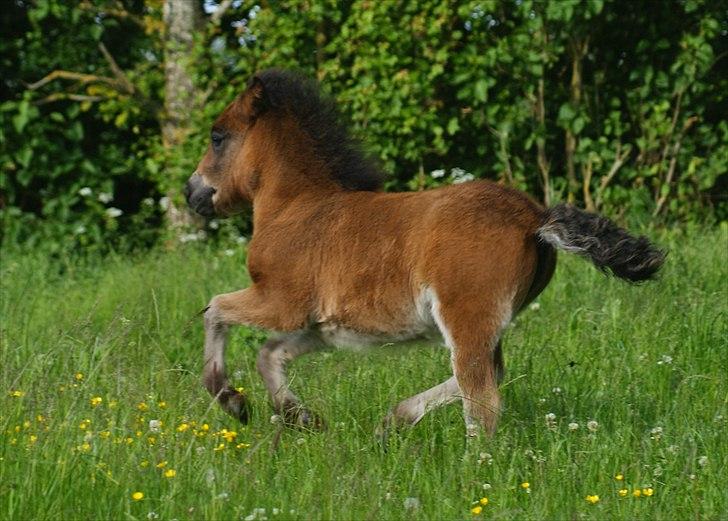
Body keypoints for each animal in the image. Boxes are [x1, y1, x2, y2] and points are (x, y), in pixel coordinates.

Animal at [183, 68, 664, 434]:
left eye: (218, 137)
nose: (191, 192)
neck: (296, 207)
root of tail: (535, 217)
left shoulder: (282, 302)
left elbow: (214, 309)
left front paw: (232, 401)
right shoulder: (321, 327)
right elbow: (270, 355)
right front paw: (300, 417)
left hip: (466, 315)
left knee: (482, 397)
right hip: (485, 323)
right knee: (483, 376)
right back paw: (393, 421)